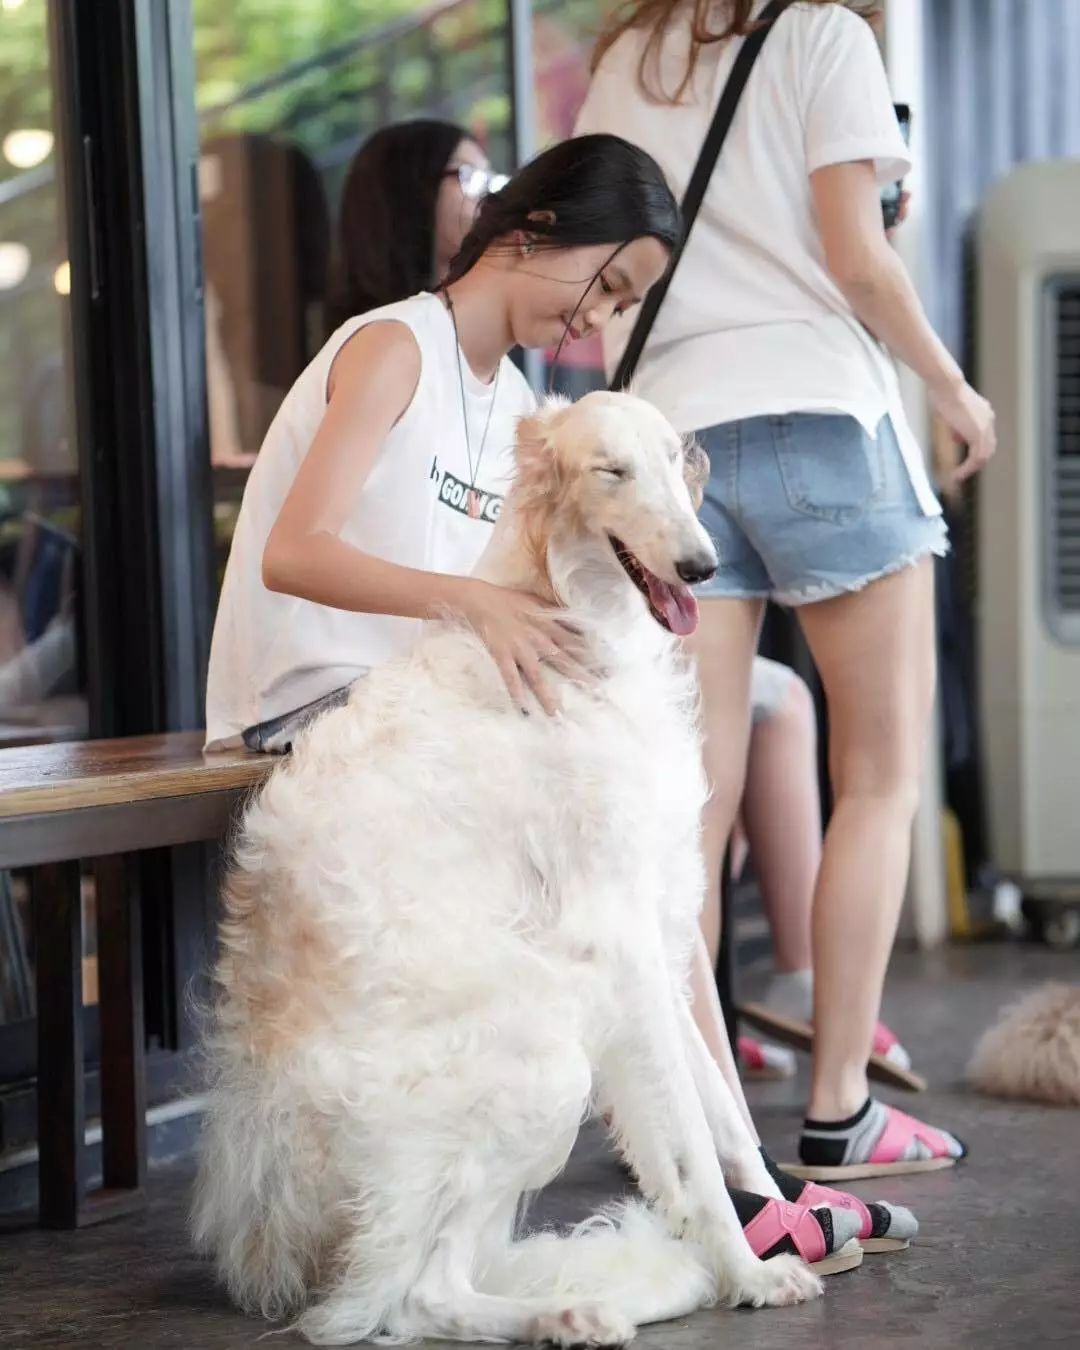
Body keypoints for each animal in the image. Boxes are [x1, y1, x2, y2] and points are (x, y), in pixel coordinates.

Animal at [191, 388, 826, 1339]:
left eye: (675, 459)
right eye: (611, 470)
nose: (702, 565)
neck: (564, 617)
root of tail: (271, 1239)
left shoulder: (648, 928)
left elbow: (719, 1114)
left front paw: (785, 1219)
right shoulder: (619, 939)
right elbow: (691, 1143)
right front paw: (750, 1271)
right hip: (541, 1061)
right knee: (413, 1298)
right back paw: (571, 1314)